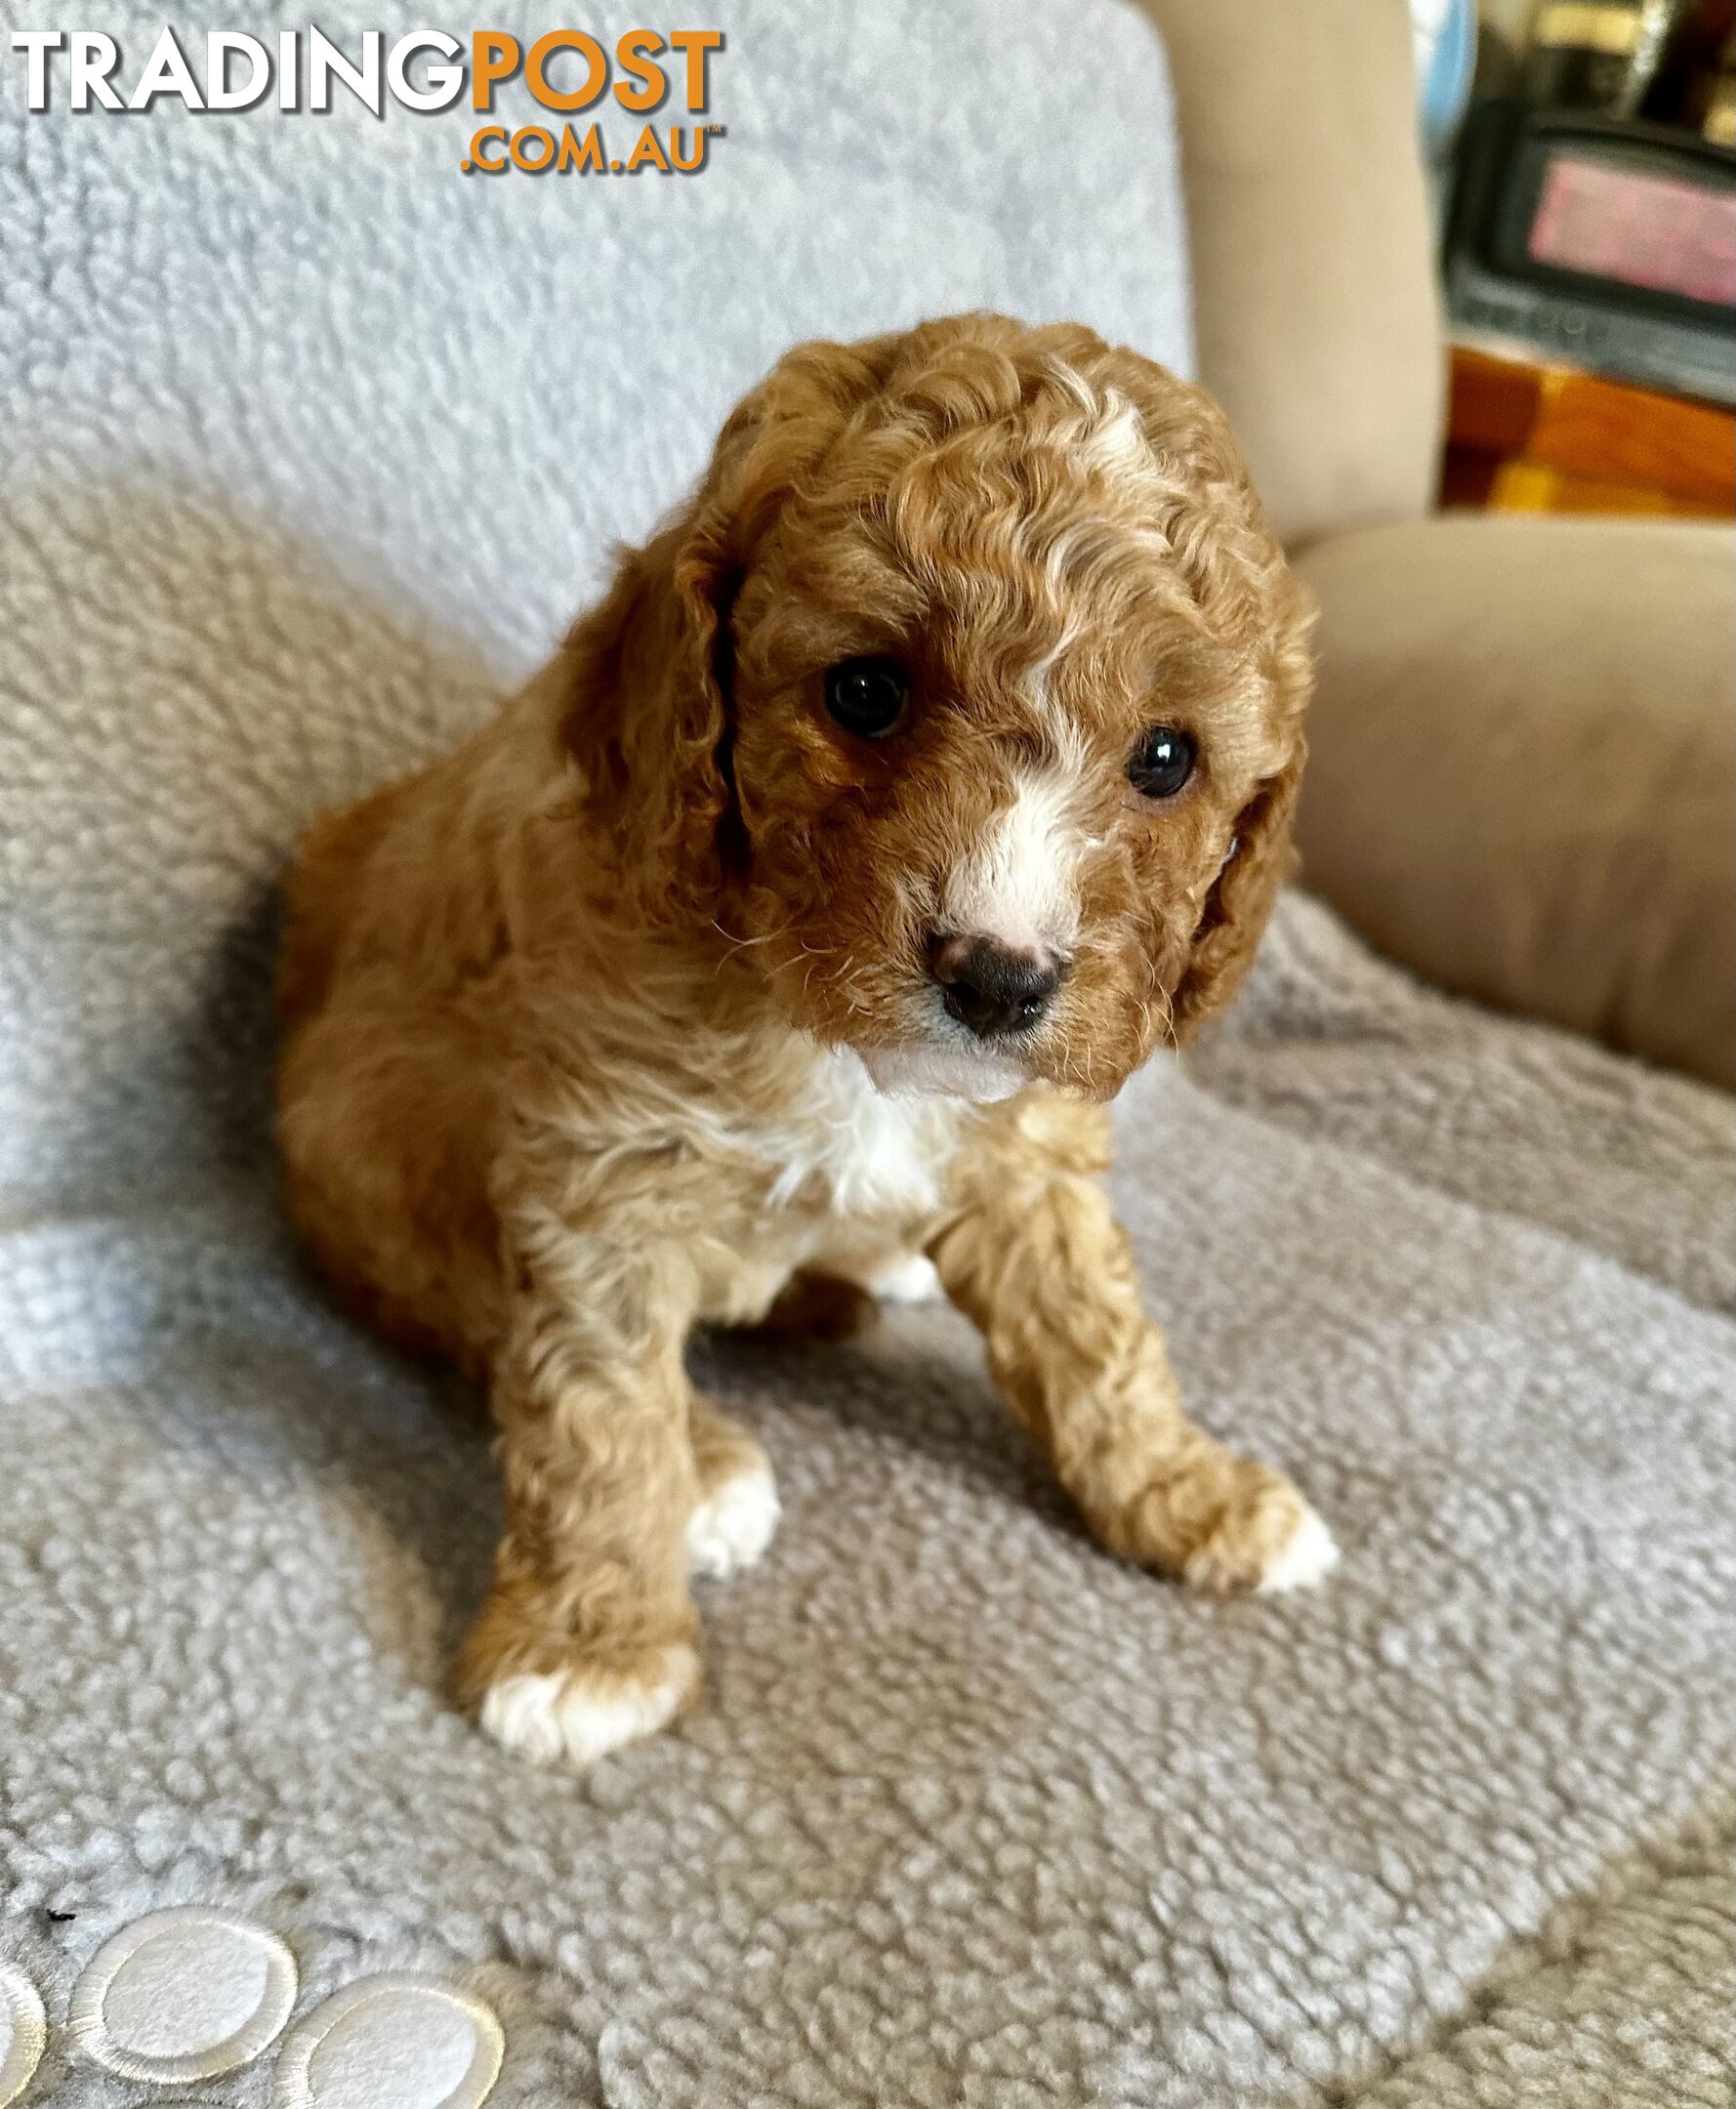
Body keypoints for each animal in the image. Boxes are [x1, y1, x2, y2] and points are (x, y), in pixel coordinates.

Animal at [273, 308, 1333, 1762]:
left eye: (1166, 760)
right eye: (864, 692)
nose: (998, 980)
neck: (833, 1040)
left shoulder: (1030, 1152)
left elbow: (1096, 1333)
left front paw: (1187, 1491)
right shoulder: (598, 1172)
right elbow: (592, 1405)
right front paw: (591, 1645)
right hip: (355, 1126)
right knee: (472, 1312)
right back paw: (708, 1465)